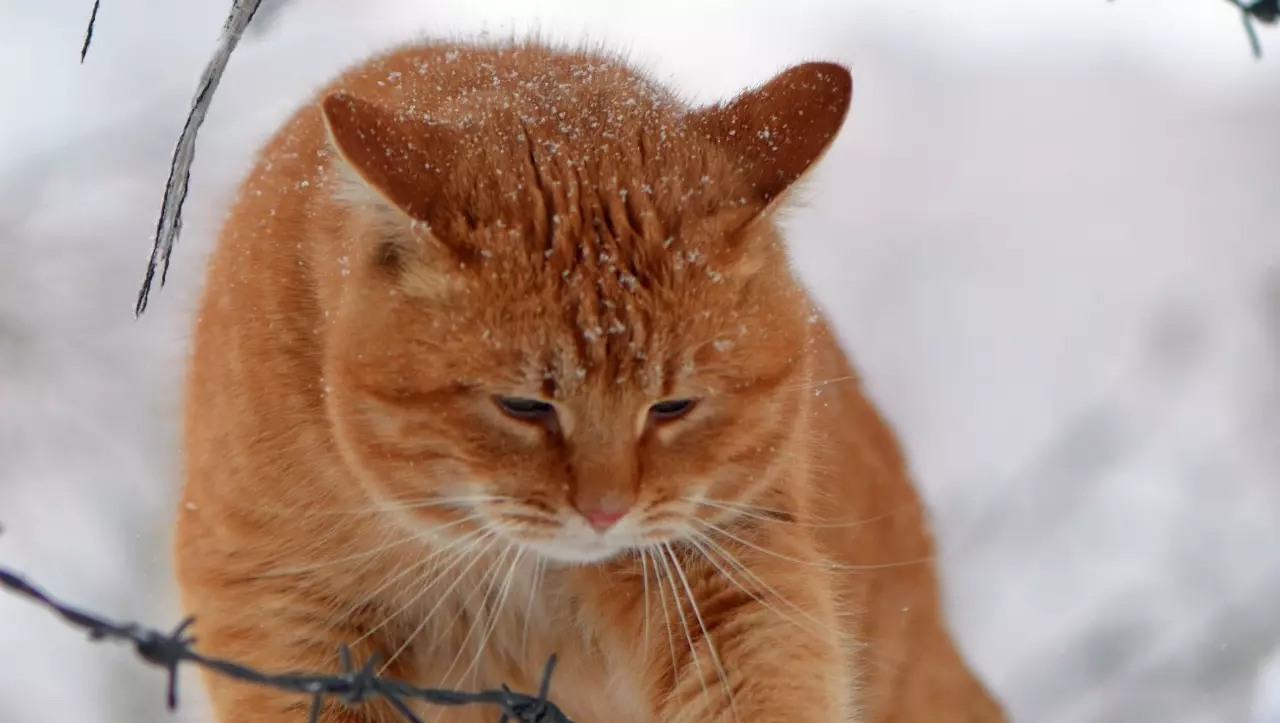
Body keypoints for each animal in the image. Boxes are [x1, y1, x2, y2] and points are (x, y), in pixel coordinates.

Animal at [172, 39, 1008, 721]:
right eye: (523, 405)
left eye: (673, 405)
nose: (605, 512)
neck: (509, 576)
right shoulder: (277, 605)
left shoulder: (726, 569)